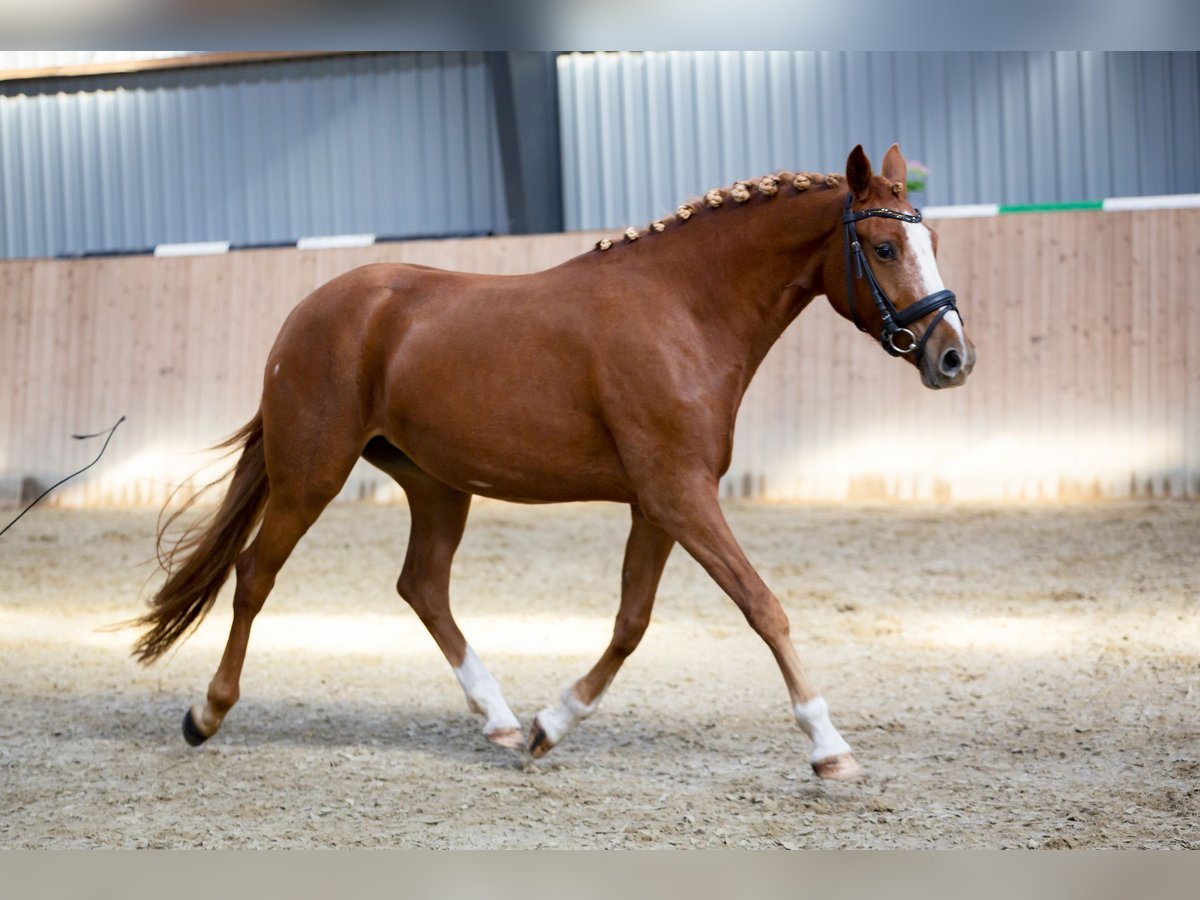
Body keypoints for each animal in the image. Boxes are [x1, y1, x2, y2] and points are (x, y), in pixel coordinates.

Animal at [133, 148, 974, 782]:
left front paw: (549, 725)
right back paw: (206, 712)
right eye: (885, 247)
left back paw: (502, 721)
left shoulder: (659, 502)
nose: (953, 356)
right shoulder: (681, 494)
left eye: (932, 243)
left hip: (436, 485)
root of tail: (311, 313)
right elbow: (762, 606)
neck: (683, 309)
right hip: (313, 474)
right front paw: (830, 750)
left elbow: (632, 623)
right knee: (255, 576)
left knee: (422, 587)